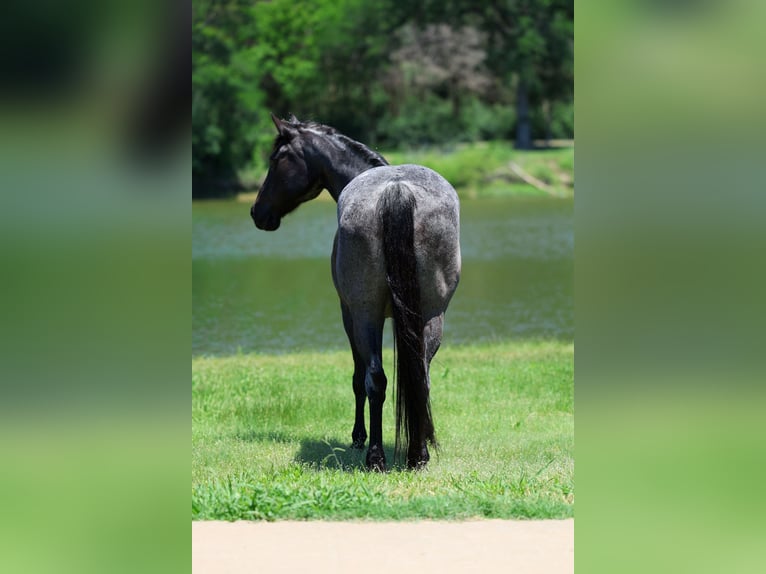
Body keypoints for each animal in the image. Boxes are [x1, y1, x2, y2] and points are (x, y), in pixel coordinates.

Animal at [250, 114, 461, 470]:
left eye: (277, 159)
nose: (257, 212)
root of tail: (397, 189)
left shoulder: (348, 313)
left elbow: (358, 377)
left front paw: (358, 436)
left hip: (365, 314)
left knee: (374, 379)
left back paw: (375, 455)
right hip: (432, 314)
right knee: (420, 376)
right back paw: (417, 454)